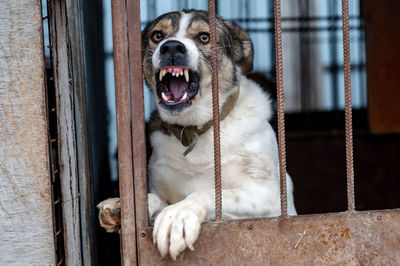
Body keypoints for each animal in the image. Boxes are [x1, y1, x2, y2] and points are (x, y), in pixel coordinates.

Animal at [97, 9, 296, 260]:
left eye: (203, 37)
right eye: (157, 35)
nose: (171, 47)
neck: (196, 130)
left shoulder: (272, 198)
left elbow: (209, 192)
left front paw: (178, 216)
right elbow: (152, 200)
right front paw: (121, 206)